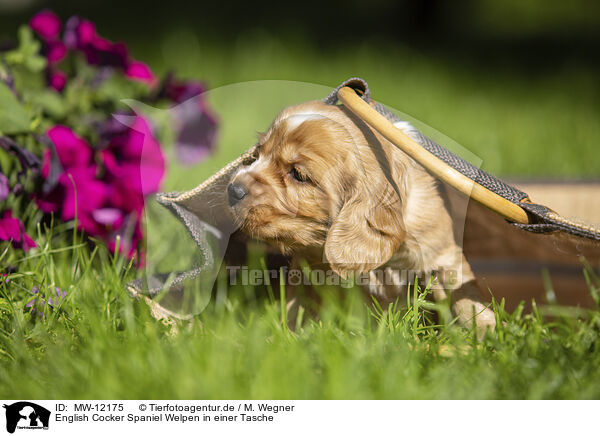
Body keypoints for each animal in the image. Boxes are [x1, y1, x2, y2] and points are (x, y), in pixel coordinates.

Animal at [227, 100, 494, 336]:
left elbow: (464, 293)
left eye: (298, 174)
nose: (232, 189)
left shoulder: (440, 252)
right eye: (257, 154)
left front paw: (485, 333)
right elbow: (300, 306)